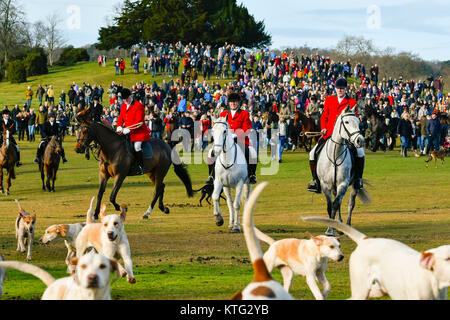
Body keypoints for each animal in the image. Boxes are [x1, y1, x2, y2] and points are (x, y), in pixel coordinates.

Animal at [314, 105, 370, 235]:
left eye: (359, 122)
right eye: (347, 122)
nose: (360, 140)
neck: (335, 155)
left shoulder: (343, 184)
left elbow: (335, 205)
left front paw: (330, 230)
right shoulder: (325, 185)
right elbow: (330, 206)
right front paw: (331, 228)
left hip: (354, 185)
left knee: (350, 204)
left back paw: (348, 225)